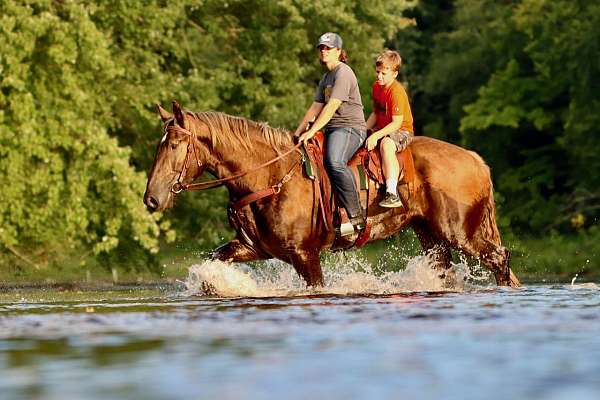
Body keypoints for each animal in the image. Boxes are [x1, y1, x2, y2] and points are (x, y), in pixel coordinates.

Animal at [145, 100, 520, 288]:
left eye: (175, 145)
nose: (152, 198)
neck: (269, 177)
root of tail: (475, 159)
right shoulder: (253, 248)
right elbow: (213, 262)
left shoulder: (305, 255)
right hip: (431, 236)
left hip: (460, 233)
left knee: (499, 259)